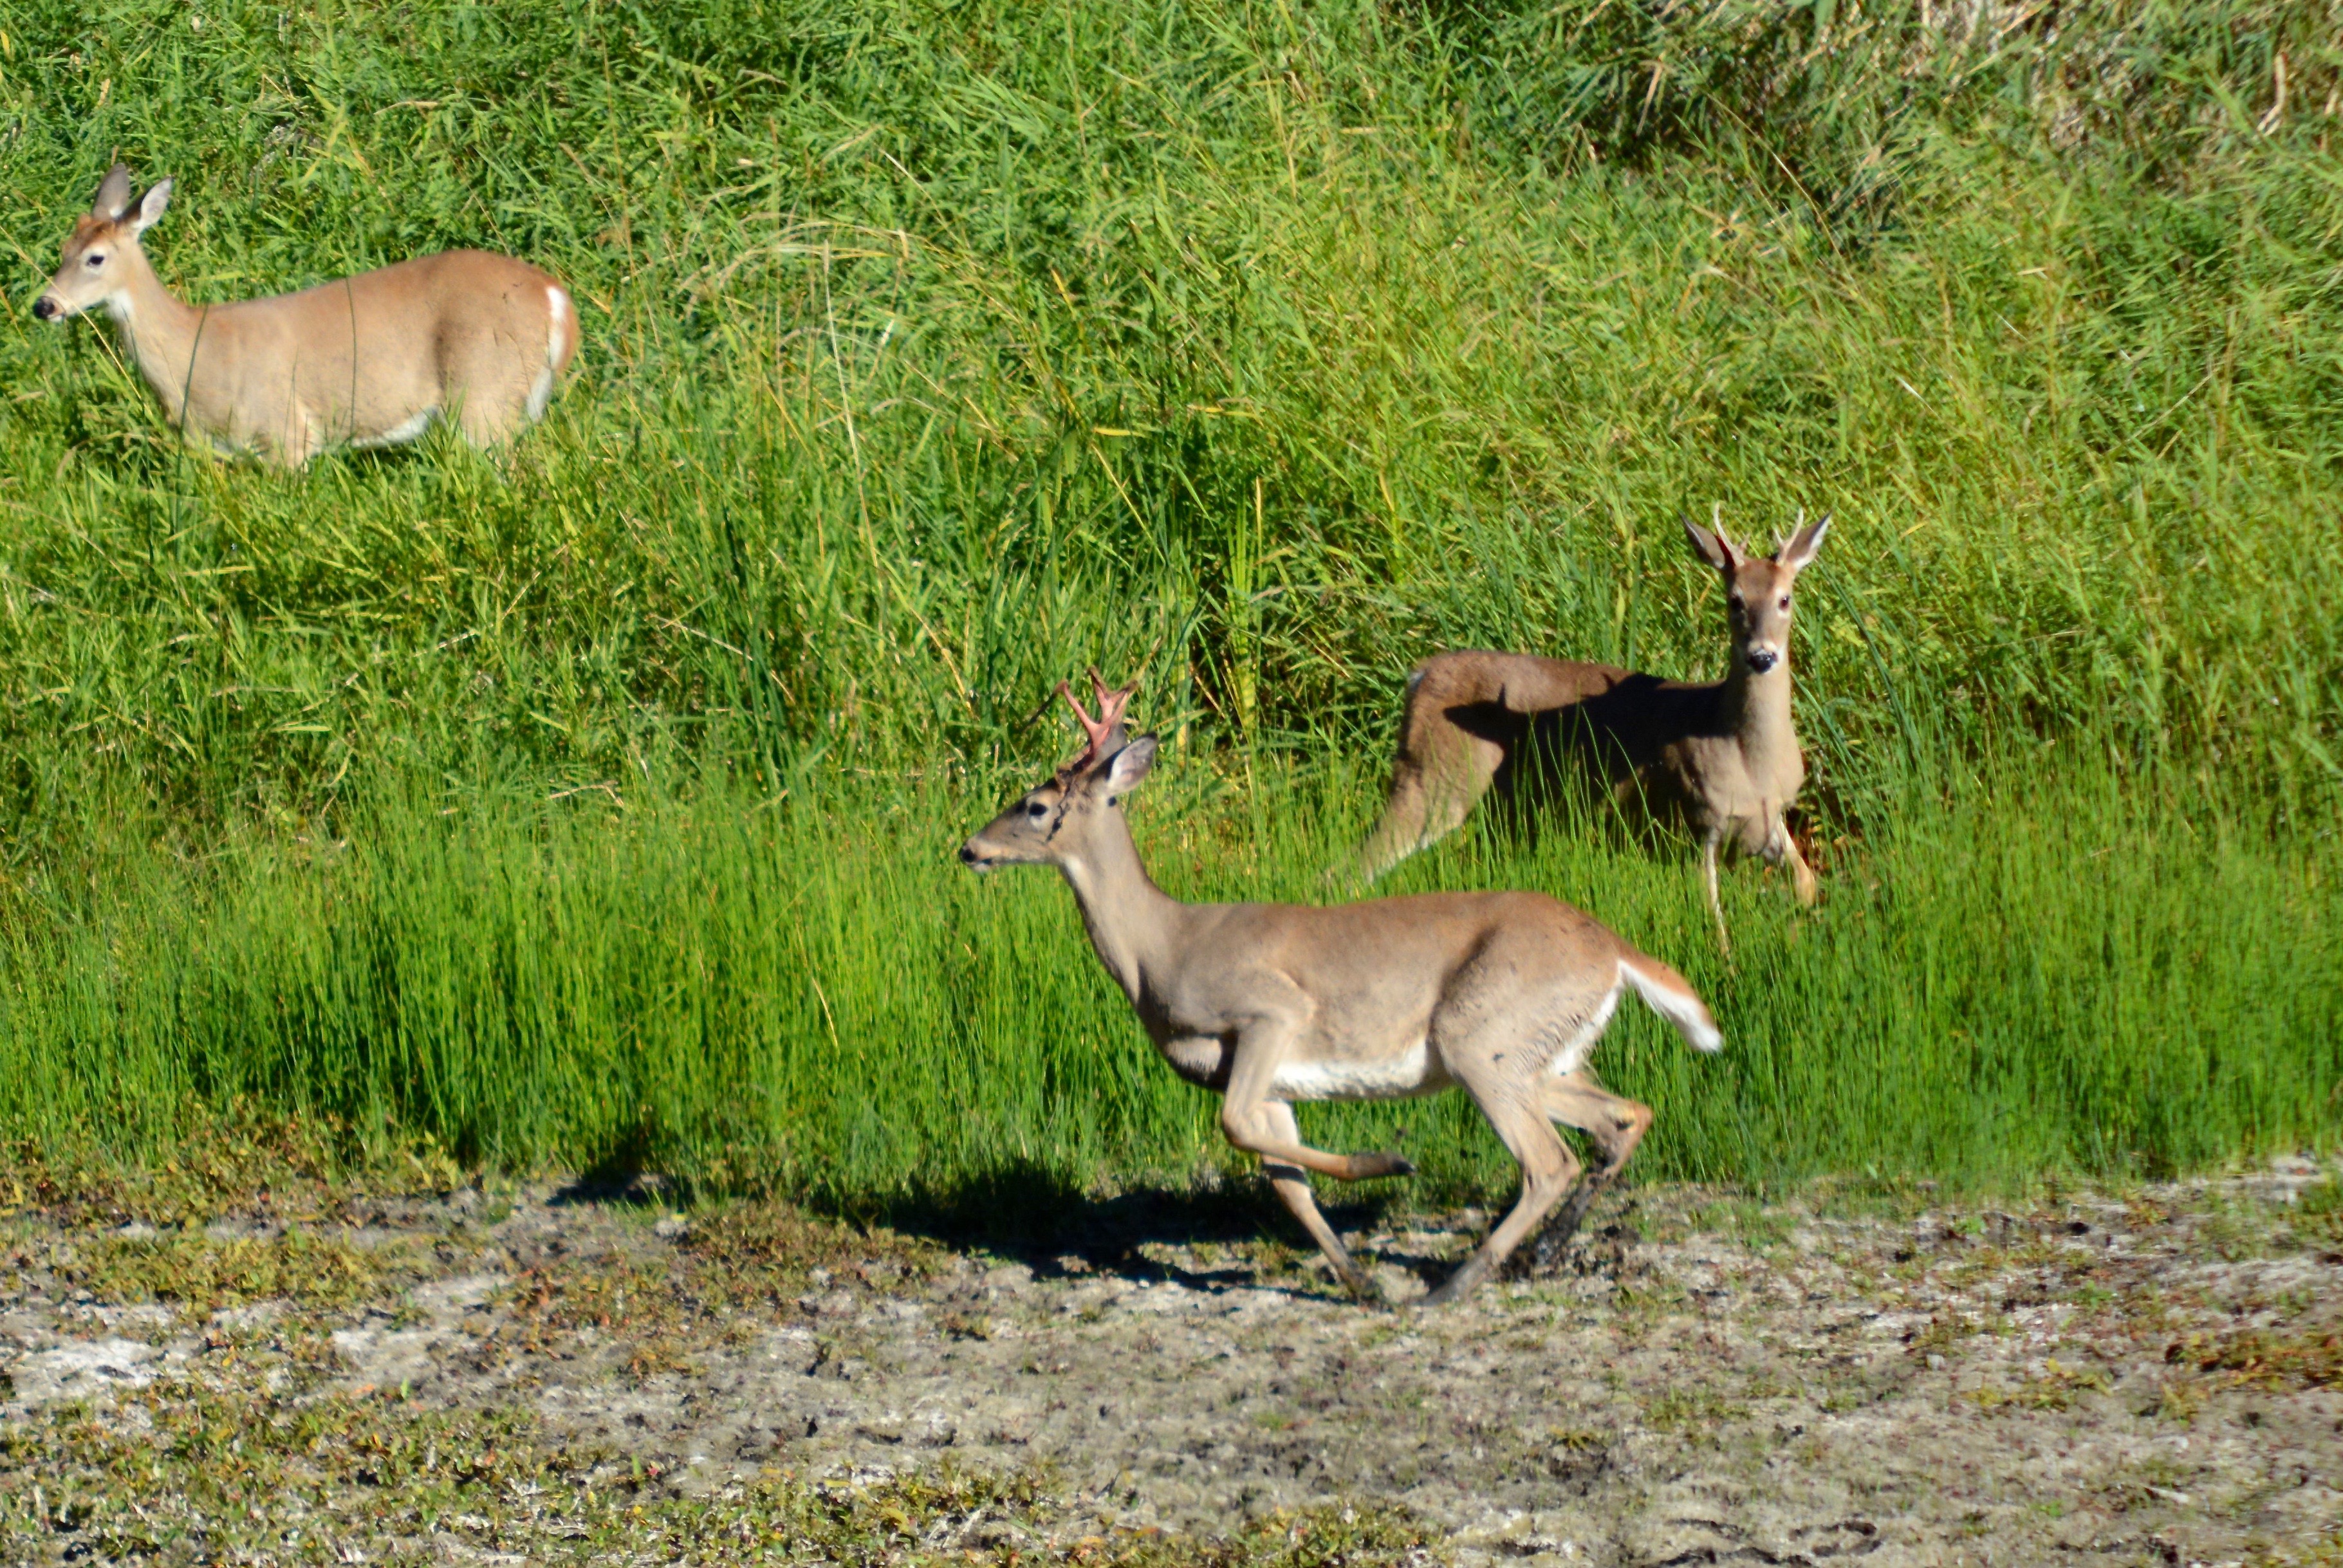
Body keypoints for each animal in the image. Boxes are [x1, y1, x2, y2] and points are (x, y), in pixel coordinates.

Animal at [33, 163, 580, 461]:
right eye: (61, 249)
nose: (44, 305)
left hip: (483, 395)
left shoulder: (285, 433)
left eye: (95, 258)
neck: (196, 351)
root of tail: (555, 297)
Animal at [956, 665, 1724, 1303]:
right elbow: (1284, 1182)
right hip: (1541, 1053)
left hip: (1481, 1035)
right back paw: (1541, 1255)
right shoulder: (1268, 1079)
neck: (1162, 948)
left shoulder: (1269, 1011)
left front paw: (1388, 1163)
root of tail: (1613, 948)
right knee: (1624, 1116)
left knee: (1548, 1160)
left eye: (1034, 804)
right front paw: (1359, 1280)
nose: (968, 848)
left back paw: (1454, 1284)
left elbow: (1236, 1128)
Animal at [1340, 513, 1827, 956]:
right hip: (1437, 775)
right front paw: (1727, 966)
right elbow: (1713, 918)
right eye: (1733, 600)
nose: (1761, 656)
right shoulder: (1694, 817)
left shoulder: (1768, 820)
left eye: (1785, 599)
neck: (1746, 756)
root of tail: (1418, 675)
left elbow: (1806, 882)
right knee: (1357, 864)